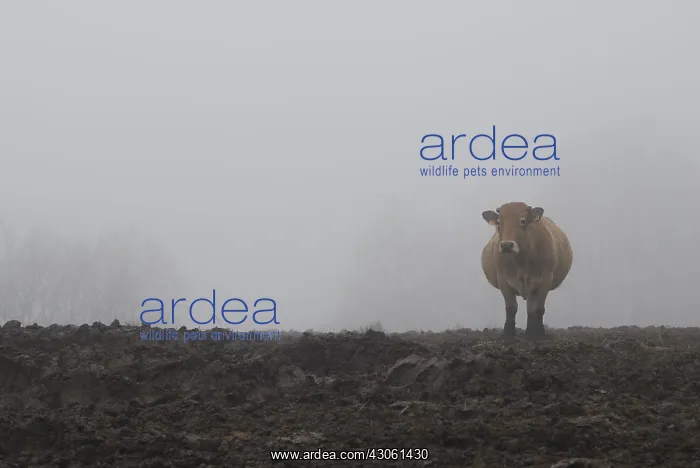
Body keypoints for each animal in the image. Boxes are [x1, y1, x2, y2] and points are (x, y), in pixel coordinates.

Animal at [481, 202, 573, 339]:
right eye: (498, 222)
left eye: (523, 220)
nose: (507, 245)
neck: (521, 263)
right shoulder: (503, 280)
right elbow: (511, 308)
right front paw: (508, 335)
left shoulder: (545, 280)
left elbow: (539, 309)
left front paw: (539, 335)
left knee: (531, 310)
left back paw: (530, 332)